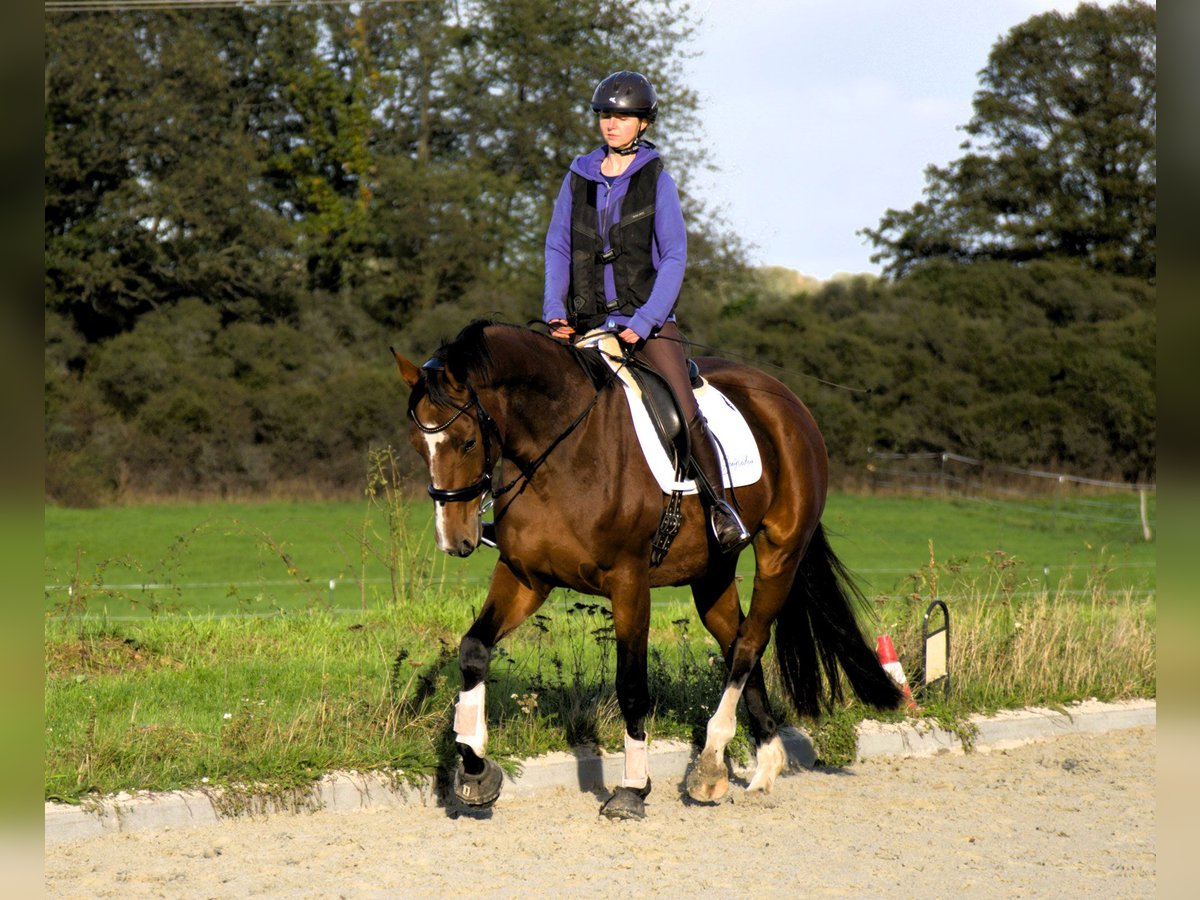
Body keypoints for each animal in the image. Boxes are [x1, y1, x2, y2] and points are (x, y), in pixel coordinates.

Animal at [393, 321, 902, 820]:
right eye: (417, 445)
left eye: (468, 442)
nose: (455, 540)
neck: (563, 451)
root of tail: (786, 398)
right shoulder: (525, 577)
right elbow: (474, 650)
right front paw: (475, 771)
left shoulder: (629, 583)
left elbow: (632, 686)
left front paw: (632, 789)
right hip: (712, 573)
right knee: (738, 639)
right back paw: (759, 763)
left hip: (781, 551)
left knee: (749, 643)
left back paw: (712, 764)